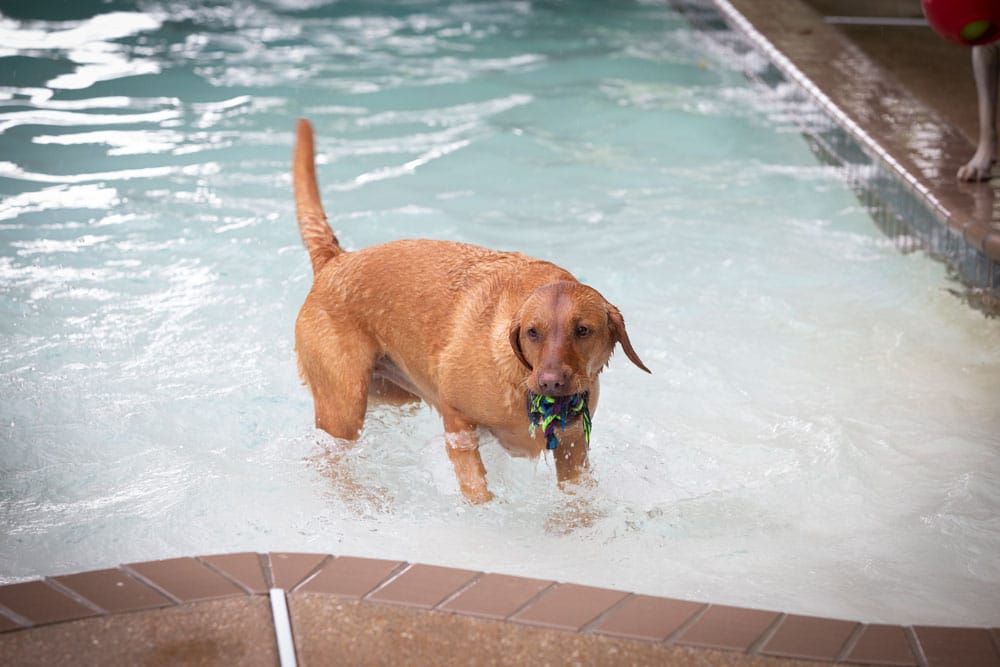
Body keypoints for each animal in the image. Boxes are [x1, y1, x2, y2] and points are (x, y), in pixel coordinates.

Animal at [292, 121, 648, 506]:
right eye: (532, 332)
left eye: (582, 330)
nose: (551, 381)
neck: (523, 381)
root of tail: (336, 261)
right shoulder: (457, 422)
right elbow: (477, 489)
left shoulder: (572, 447)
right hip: (342, 408)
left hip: (394, 395)